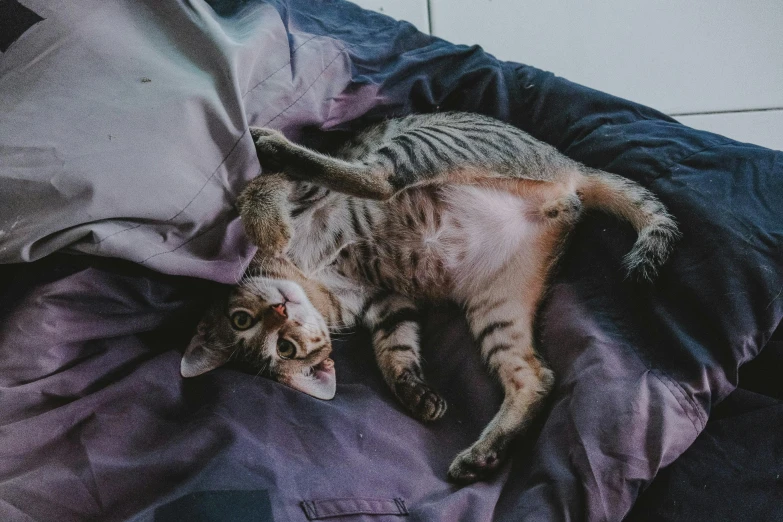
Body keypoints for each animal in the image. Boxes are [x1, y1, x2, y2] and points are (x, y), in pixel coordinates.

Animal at [179, 111, 680, 482]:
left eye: (243, 320)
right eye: (281, 348)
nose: (281, 311)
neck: (315, 284)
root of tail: (571, 168)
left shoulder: (308, 197)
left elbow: (262, 188)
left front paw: (268, 224)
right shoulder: (387, 302)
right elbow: (395, 352)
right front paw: (416, 394)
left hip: (428, 143)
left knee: (376, 177)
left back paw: (270, 142)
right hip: (497, 305)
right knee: (535, 377)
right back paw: (482, 455)